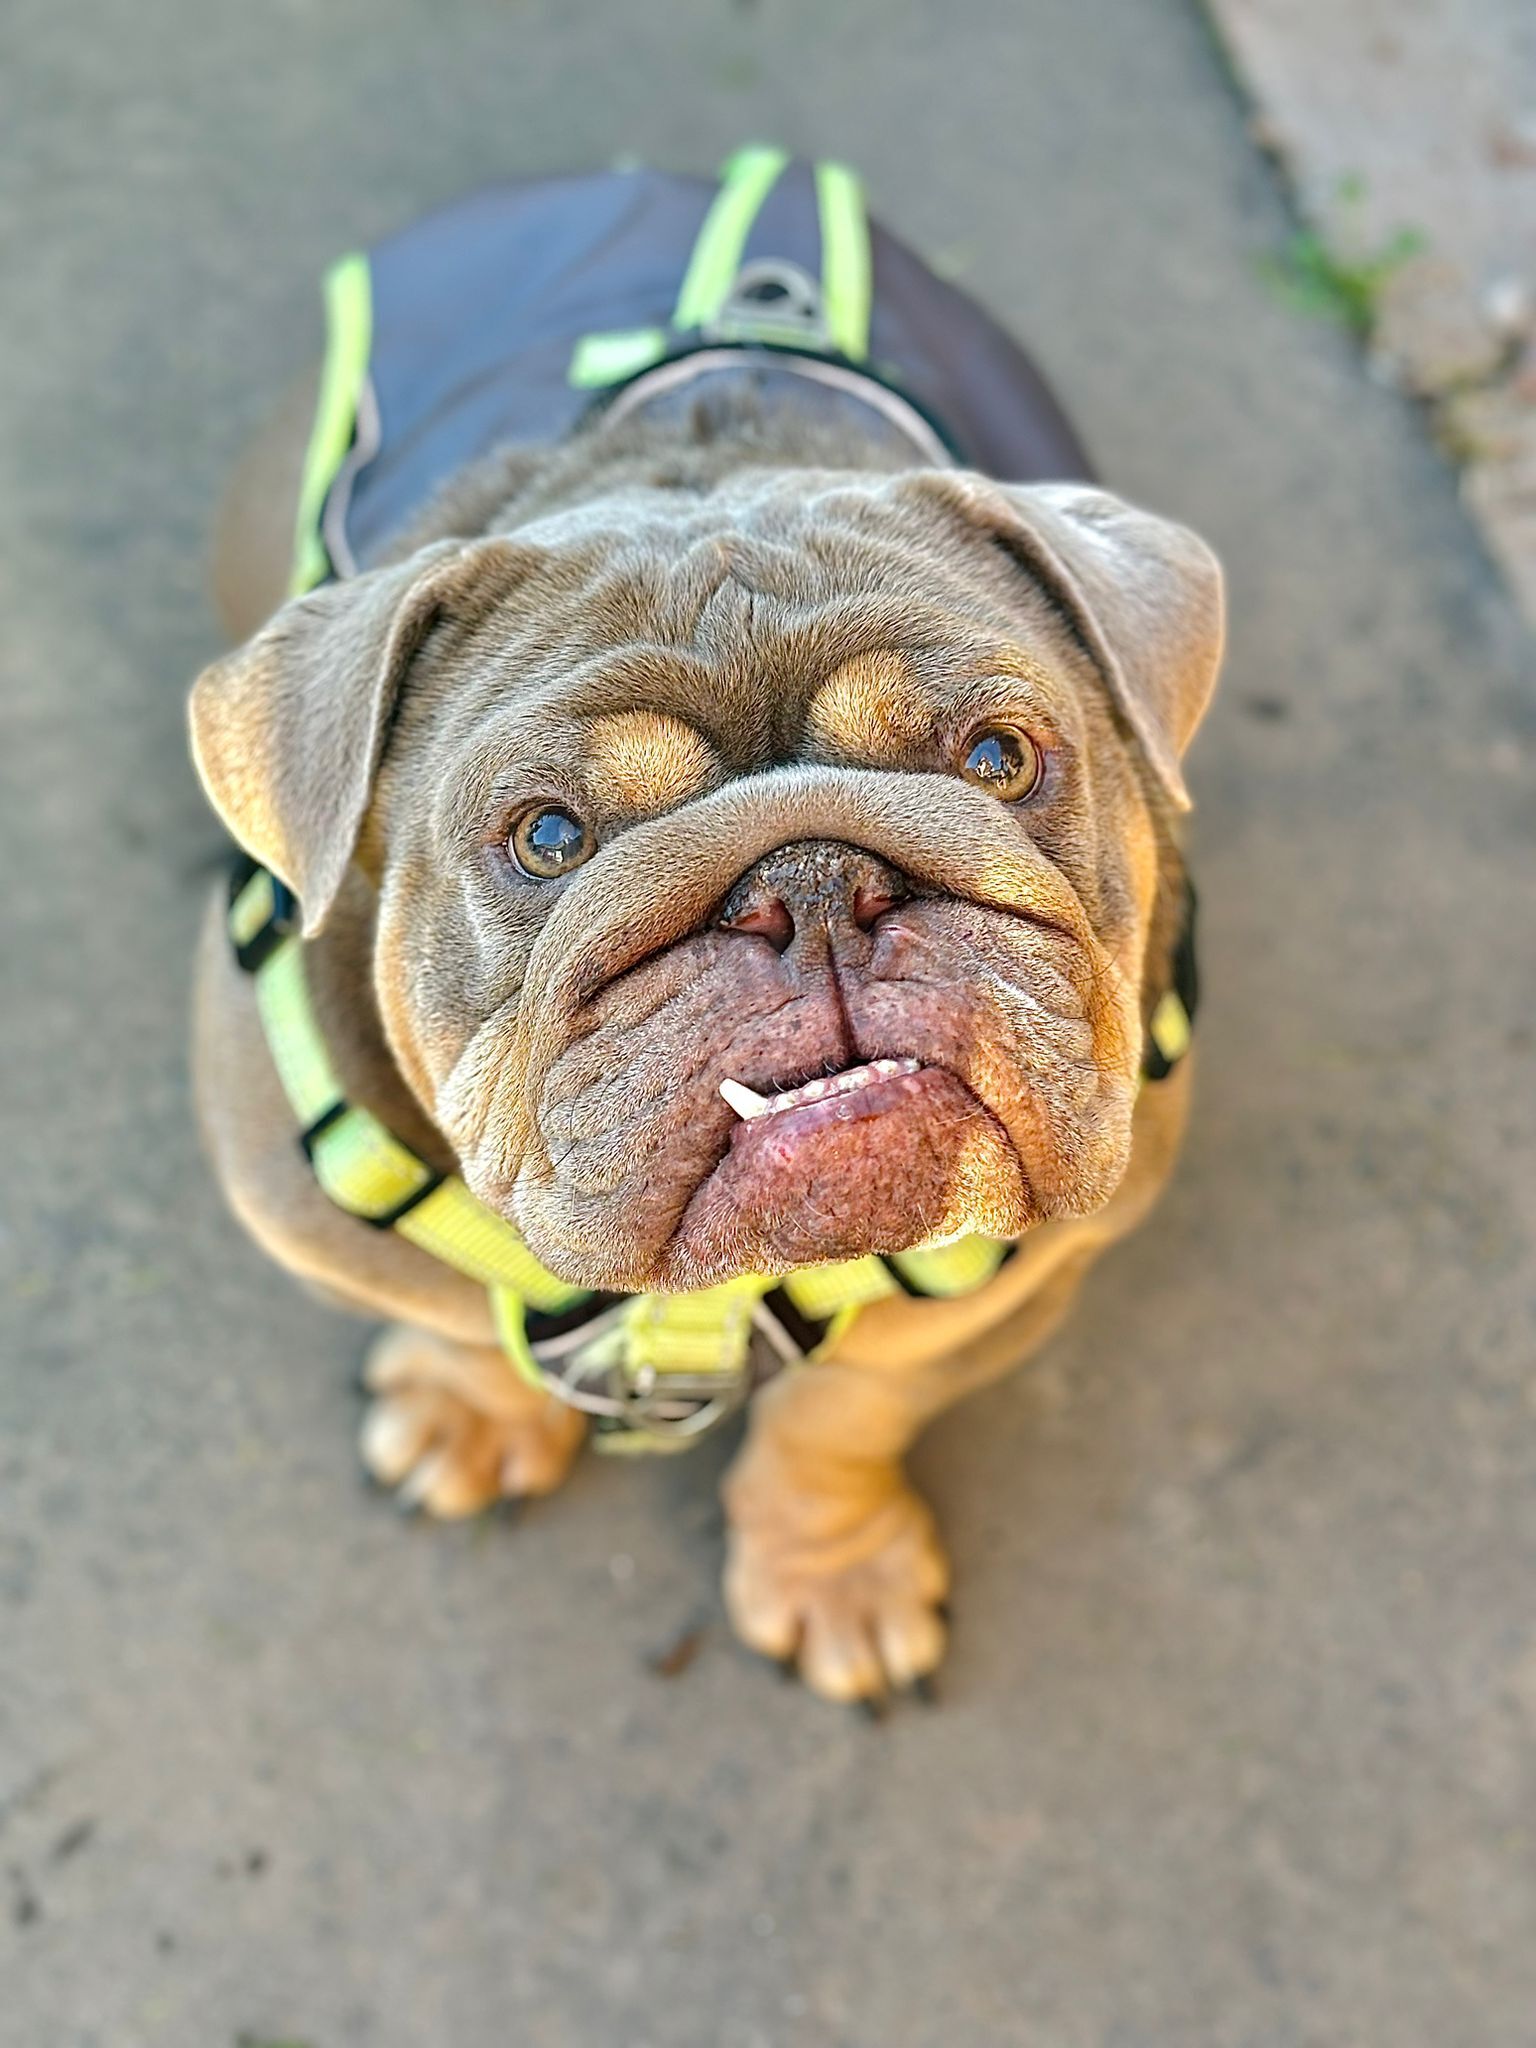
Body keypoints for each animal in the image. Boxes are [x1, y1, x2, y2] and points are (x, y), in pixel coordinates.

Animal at [192, 155, 1228, 1695]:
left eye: (998, 758)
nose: (812, 881)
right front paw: (467, 1406)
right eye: (547, 838)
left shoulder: (998, 1285)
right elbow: (451, 1305)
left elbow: (846, 1411)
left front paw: (835, 1571)